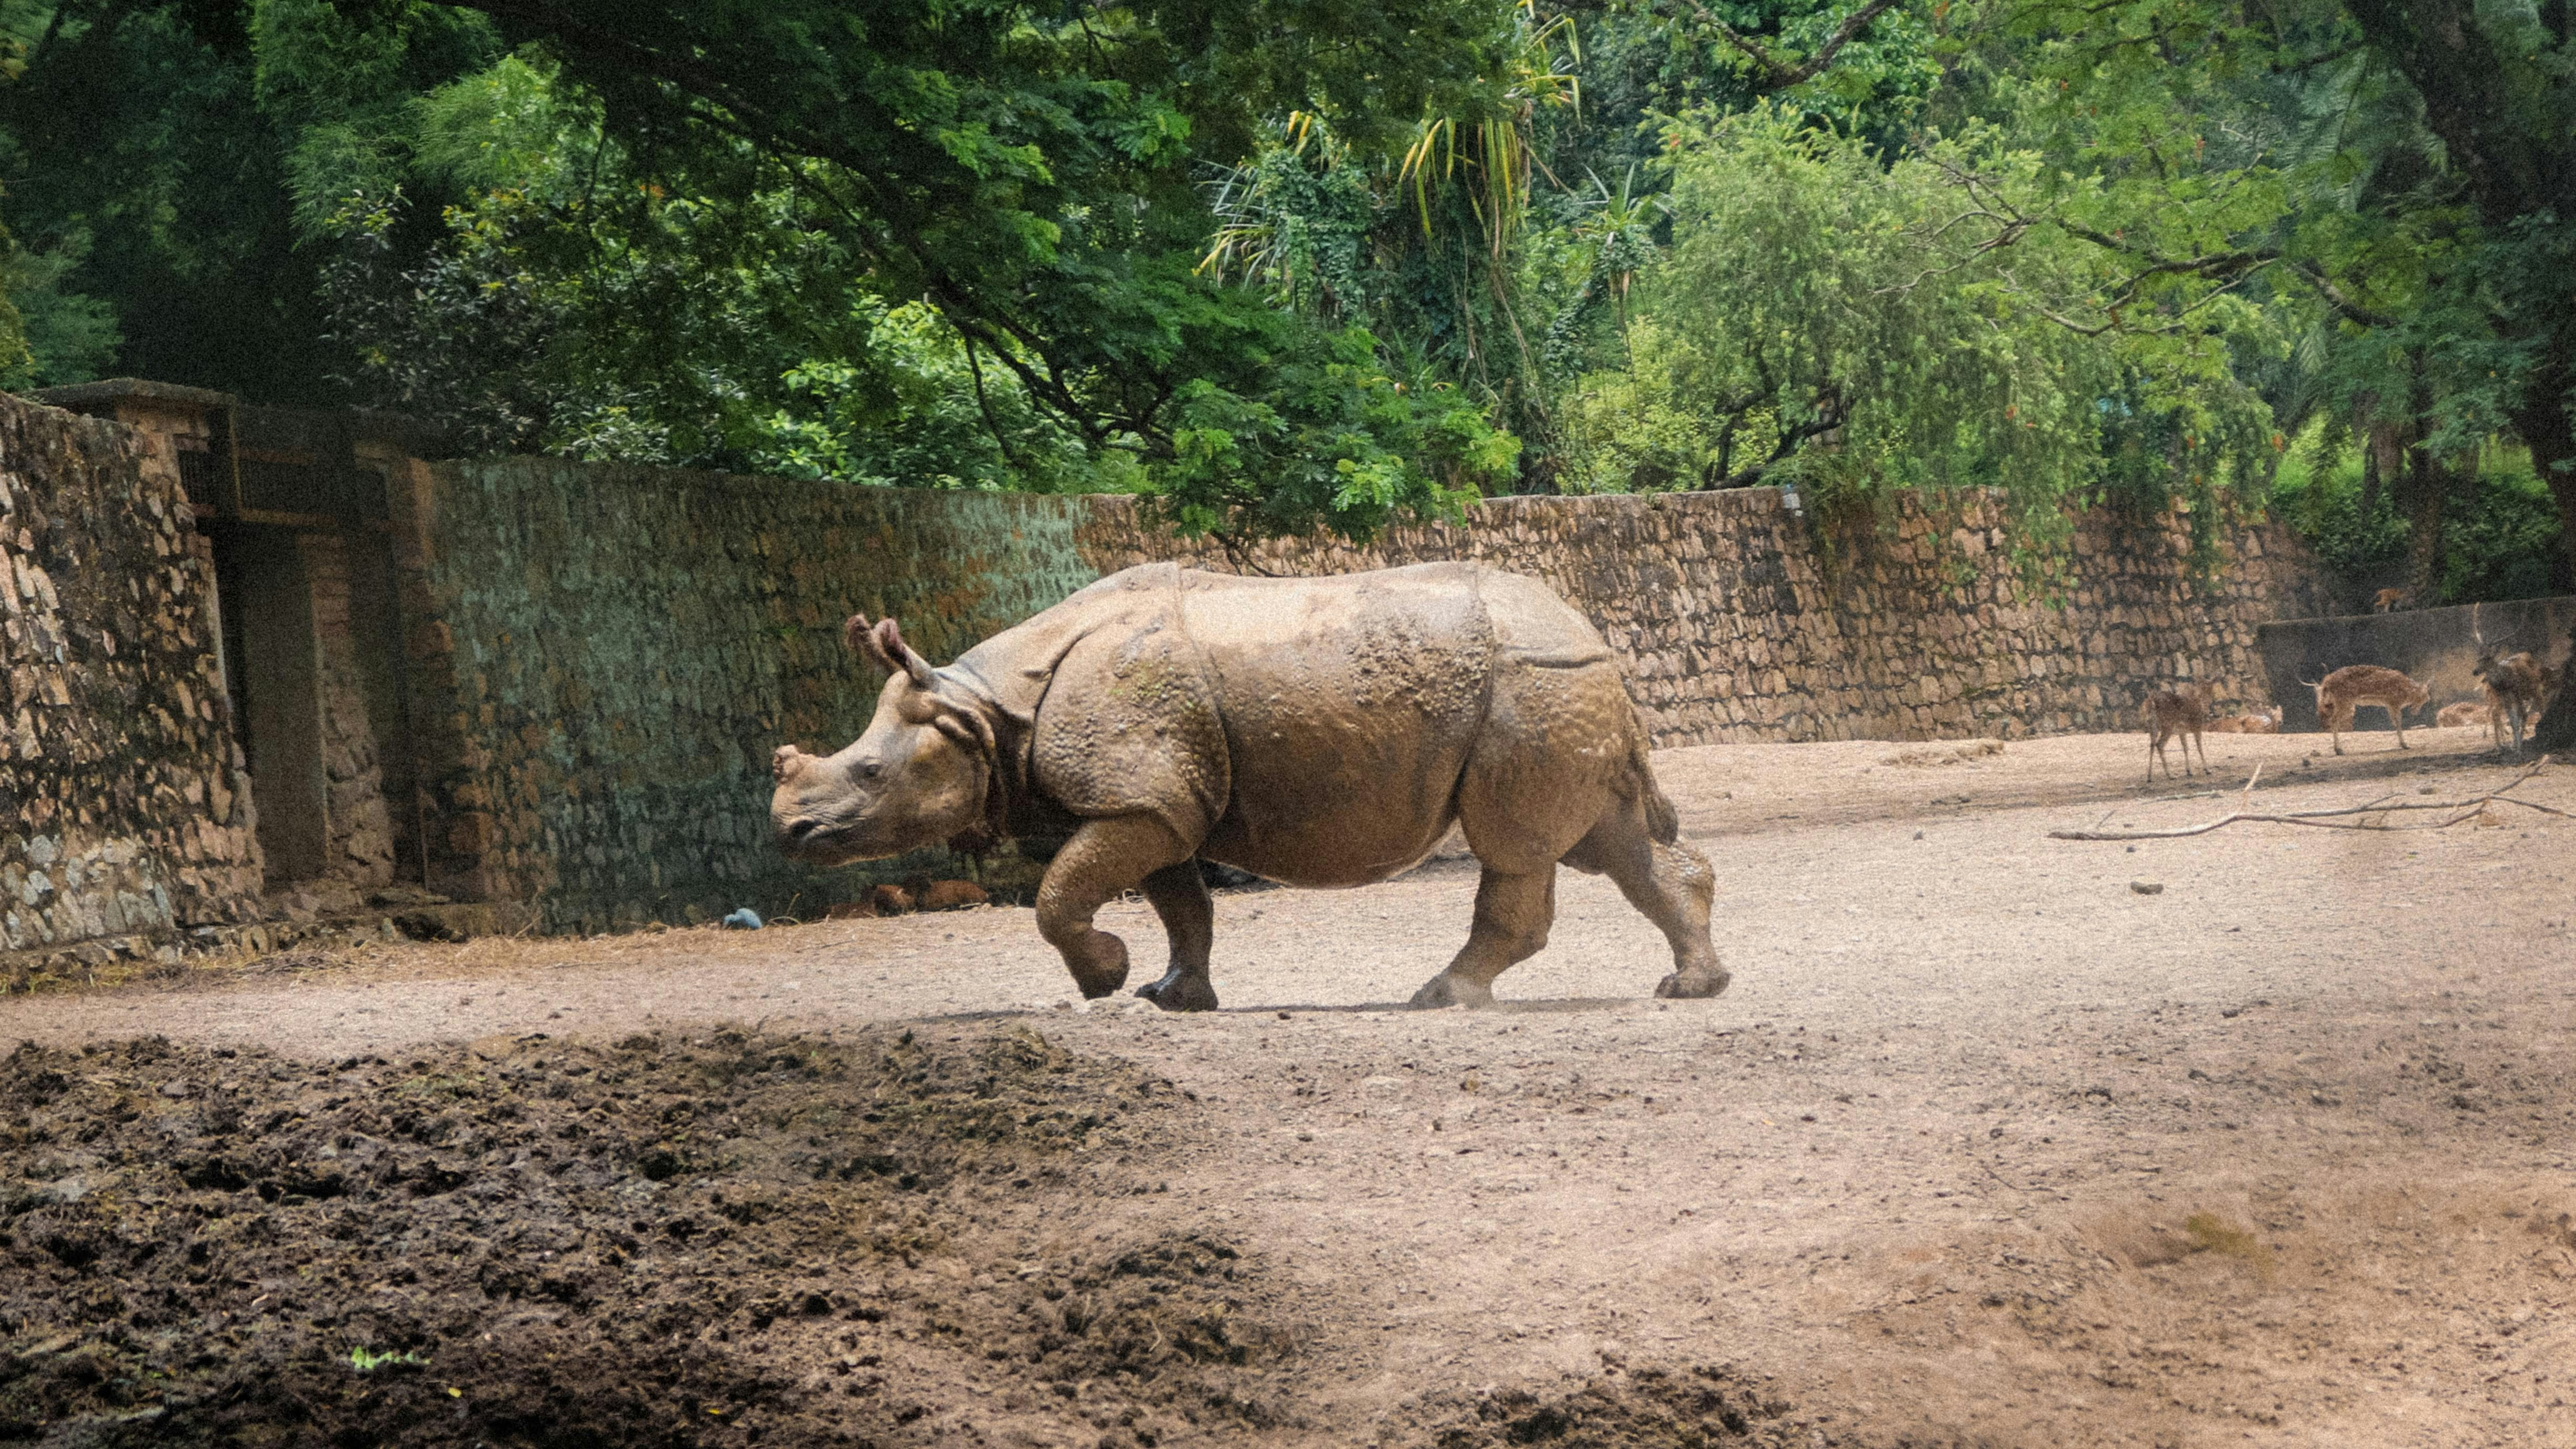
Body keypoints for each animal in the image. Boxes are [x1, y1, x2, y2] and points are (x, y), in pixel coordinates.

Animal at [770, 561, 1726, 1011]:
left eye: (868, 773)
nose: (787, 831)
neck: (981, 708)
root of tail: (1592, 632)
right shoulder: (1157, 800)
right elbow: (1182, 906)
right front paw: (1171, 998)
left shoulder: (1138, 796)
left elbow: (1057, 894)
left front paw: (1104, 981)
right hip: (1553, 683)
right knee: (1610, 841)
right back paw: (1692, 989)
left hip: (1529, 685)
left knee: (1516, 846)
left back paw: (1440, 998)